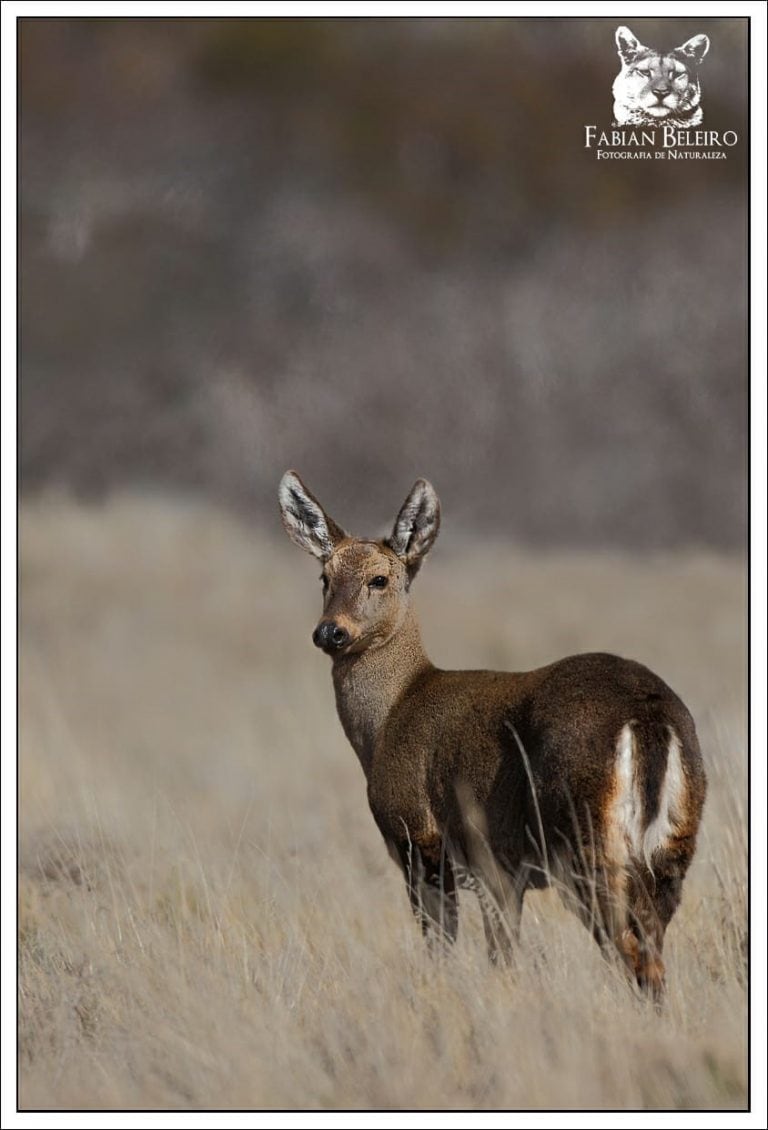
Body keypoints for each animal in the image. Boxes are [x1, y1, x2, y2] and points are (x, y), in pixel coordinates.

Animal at [277, 472, 709, 1003]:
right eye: (324, 578)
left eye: (379, 579)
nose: (330, 632)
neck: (391, 716)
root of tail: (649, 716)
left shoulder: (430, 844)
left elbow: (458, 953)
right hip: (672, 848)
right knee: (652, 948)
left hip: (583, 838)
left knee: (632, 952)